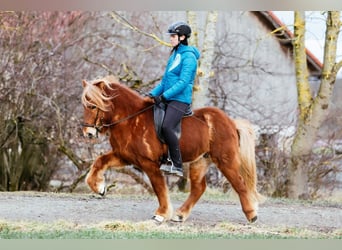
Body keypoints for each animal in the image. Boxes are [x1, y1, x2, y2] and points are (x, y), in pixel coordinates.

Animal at [81, 75, 264, 224]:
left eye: (93, 106)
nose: (88, 133)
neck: (131, 120)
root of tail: (231, 123)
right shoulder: (124, 156)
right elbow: (99, 162)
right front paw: (99, 188)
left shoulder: (149, 163)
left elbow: (159, 188)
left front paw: (161, 214)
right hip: (200, 161)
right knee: (199, 188)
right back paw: (180, 215)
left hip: (225, 160)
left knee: (240, 184)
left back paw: (251, 214)